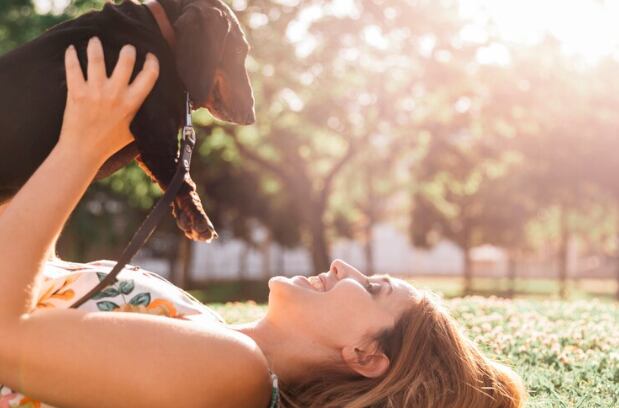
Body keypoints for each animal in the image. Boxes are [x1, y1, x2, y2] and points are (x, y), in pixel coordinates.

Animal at [0, 0, 256, 241]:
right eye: (238, 52)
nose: (252, 116)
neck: (158, 35)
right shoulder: (154, 129)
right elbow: (180, 175)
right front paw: (198, 218)